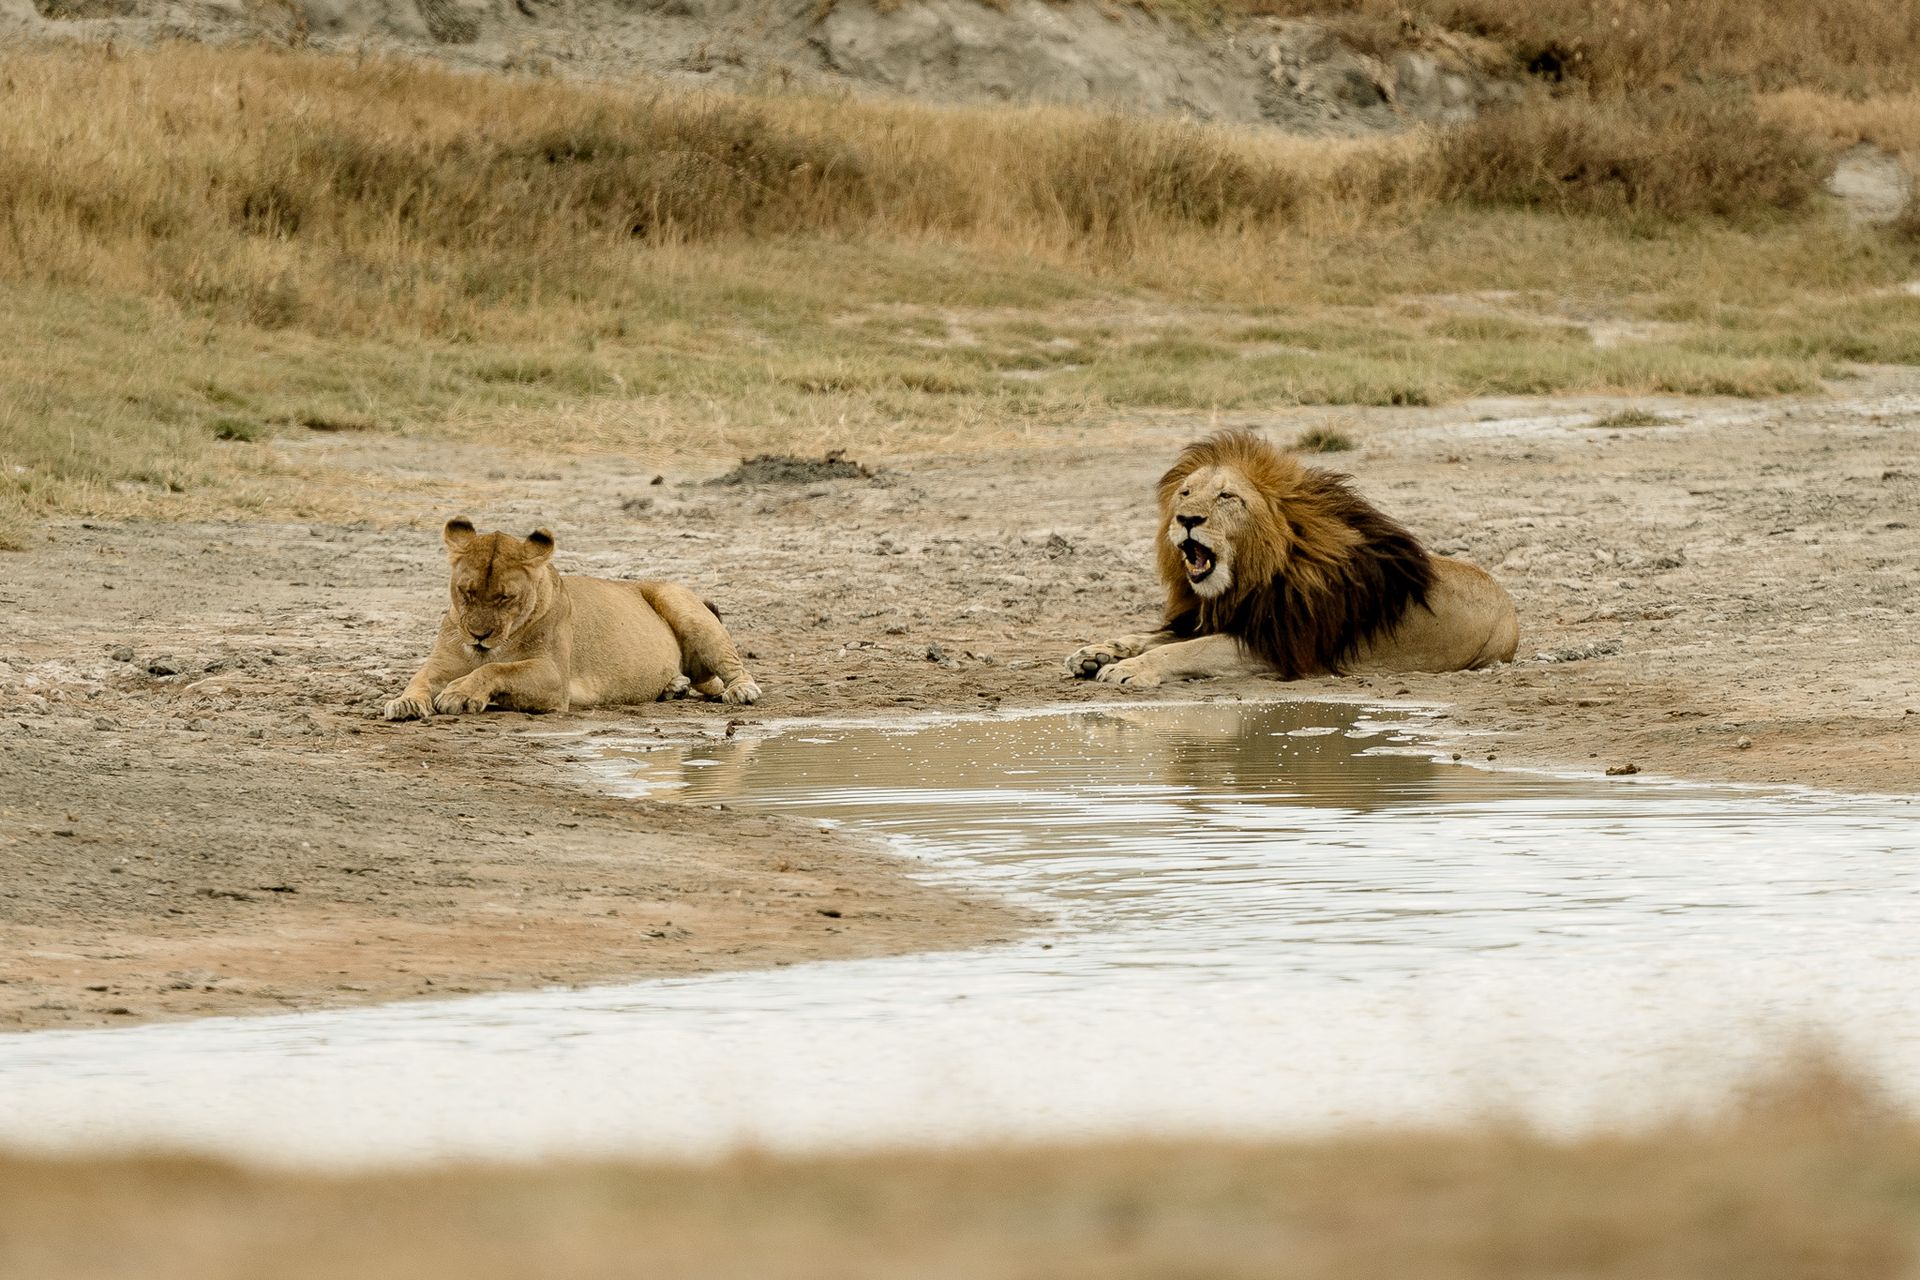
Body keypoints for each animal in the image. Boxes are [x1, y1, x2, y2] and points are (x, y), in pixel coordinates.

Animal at [384, 518, 760, 721]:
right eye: (466, 591)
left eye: (506, 597)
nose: (478, 634)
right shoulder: (439, 666)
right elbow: (418, 679)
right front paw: (405, 702)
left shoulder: (554, 679)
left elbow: (498, 669)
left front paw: (461, 694)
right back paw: (674, 686)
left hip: (682, 604)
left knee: (733, 667)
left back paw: (741, 691)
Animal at [1066, 428, 1517, 687]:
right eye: (1186, 493)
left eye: (1226, 496)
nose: (1187, 519)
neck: (1248, 577)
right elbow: (1153, 636)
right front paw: (1095, 652)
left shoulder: (1279, 641)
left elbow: (1187, 650)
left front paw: (1130, 668)